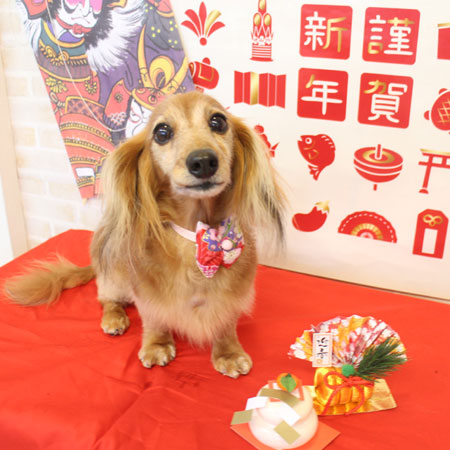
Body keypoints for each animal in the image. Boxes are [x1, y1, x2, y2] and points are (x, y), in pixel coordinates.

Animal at [5, 91, 285, 378]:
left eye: (218, 122)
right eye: (162, 132)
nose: (203, 161)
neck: (194, 235)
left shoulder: (231, 294)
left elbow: (226, 322)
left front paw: (228, 353)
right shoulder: (147, 292)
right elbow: (154, 319)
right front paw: (157, 345)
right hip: (115, 280)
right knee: (106, 299)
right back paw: (114, 318)